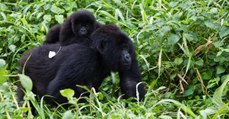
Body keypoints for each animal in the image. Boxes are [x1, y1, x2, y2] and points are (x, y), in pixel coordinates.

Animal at [17, 23, 145, 105]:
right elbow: (57, 90)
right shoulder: (83, 57)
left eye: (127, 48)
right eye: (121, 49)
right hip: (25, 72)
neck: (98, 53)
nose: (128, 57)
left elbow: (131, 82)